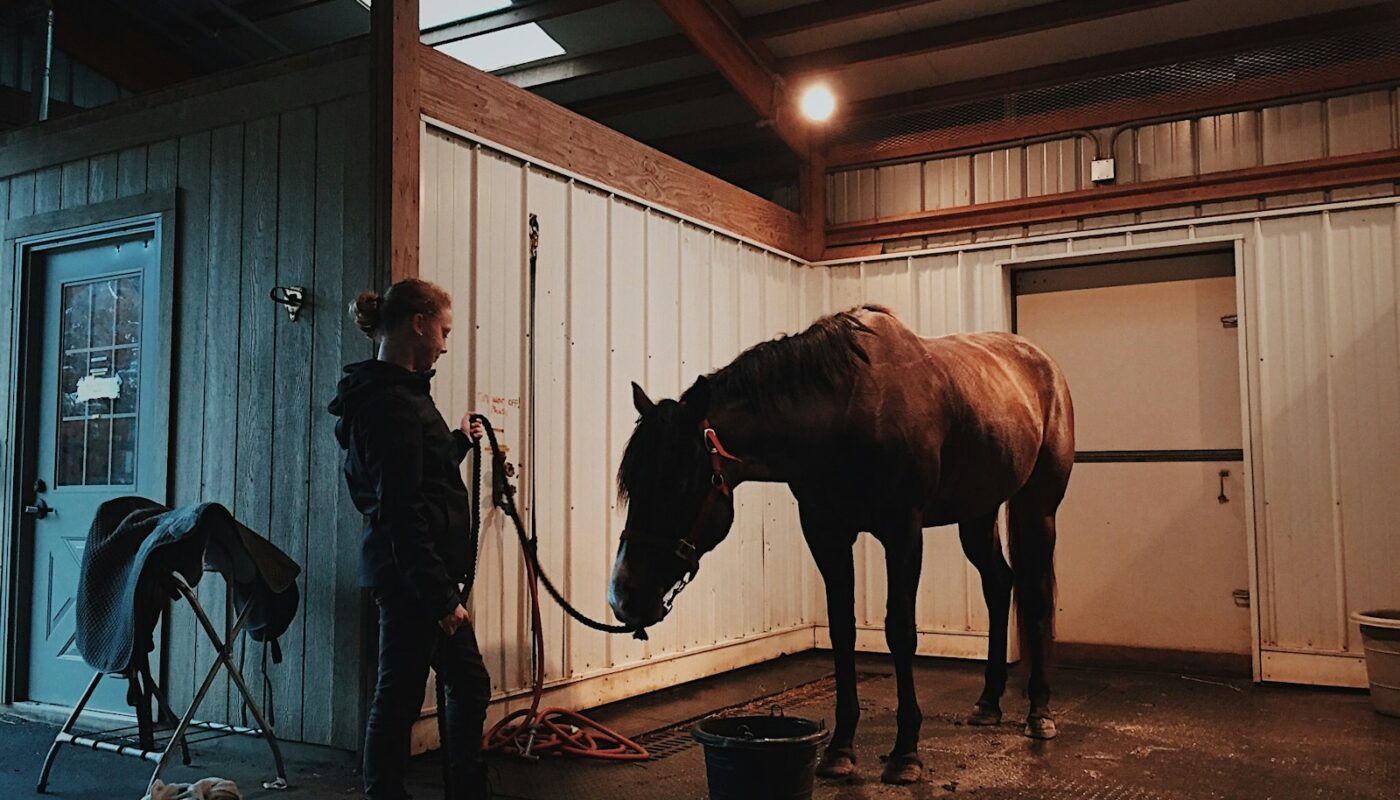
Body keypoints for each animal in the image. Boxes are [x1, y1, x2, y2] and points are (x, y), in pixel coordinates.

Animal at [607, 304, 1074, 785]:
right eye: (632, 485)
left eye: (682, 484)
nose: (623, 596)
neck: (846, 413)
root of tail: (1043, 365)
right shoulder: (825, 533)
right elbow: (841, 629)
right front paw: (840, 749)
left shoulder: (902, 531)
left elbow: (900, 630)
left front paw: (906, 752)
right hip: (977, 513)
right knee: (999, 585)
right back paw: (988, 702)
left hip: (1037, 508)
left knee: (1035, 595)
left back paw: (1039, 712)